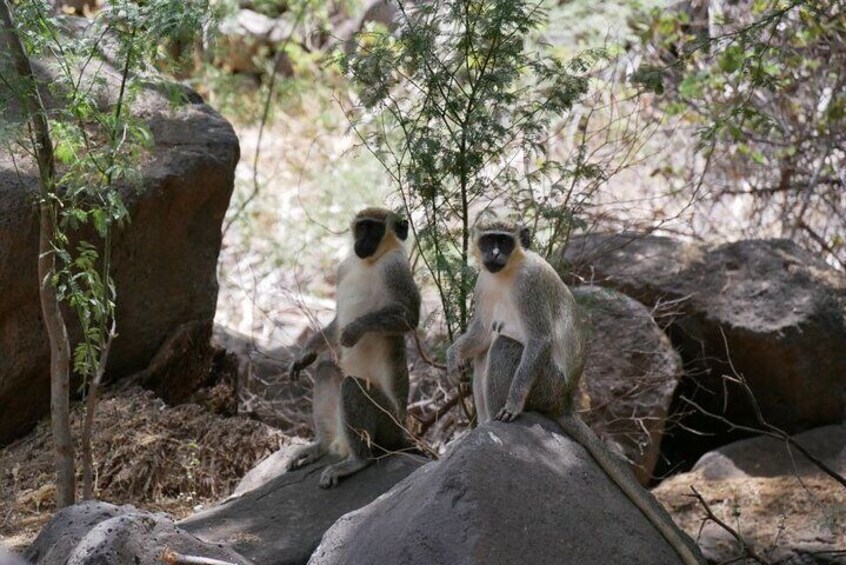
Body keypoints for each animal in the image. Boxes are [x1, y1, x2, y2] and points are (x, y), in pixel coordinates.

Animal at [288, 208, 420, 490]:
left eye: (374, 229)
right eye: (361, 227)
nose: (362, 242)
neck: (368, 262)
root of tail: (402, 430)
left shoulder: (396, 269)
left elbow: (410, 318)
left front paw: (355, 329)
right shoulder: (343, 268)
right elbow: (337, 321)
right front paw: (306, 353)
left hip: (387, 423)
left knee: (353, 386)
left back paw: (358, 461)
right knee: (327, 370)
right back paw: (321, 445)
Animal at [448, 217, 704, 564]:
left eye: (504, 241)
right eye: (489, 241)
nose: (495, 254)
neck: (507, 272)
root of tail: (566, 398)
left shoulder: (529, 285)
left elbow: (539, 340)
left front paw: (512, 404)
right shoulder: (482, 283)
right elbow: (481, 332)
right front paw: (453, 357)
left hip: (546, 385)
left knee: (503, 346)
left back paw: (493, 423)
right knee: (486, 349)